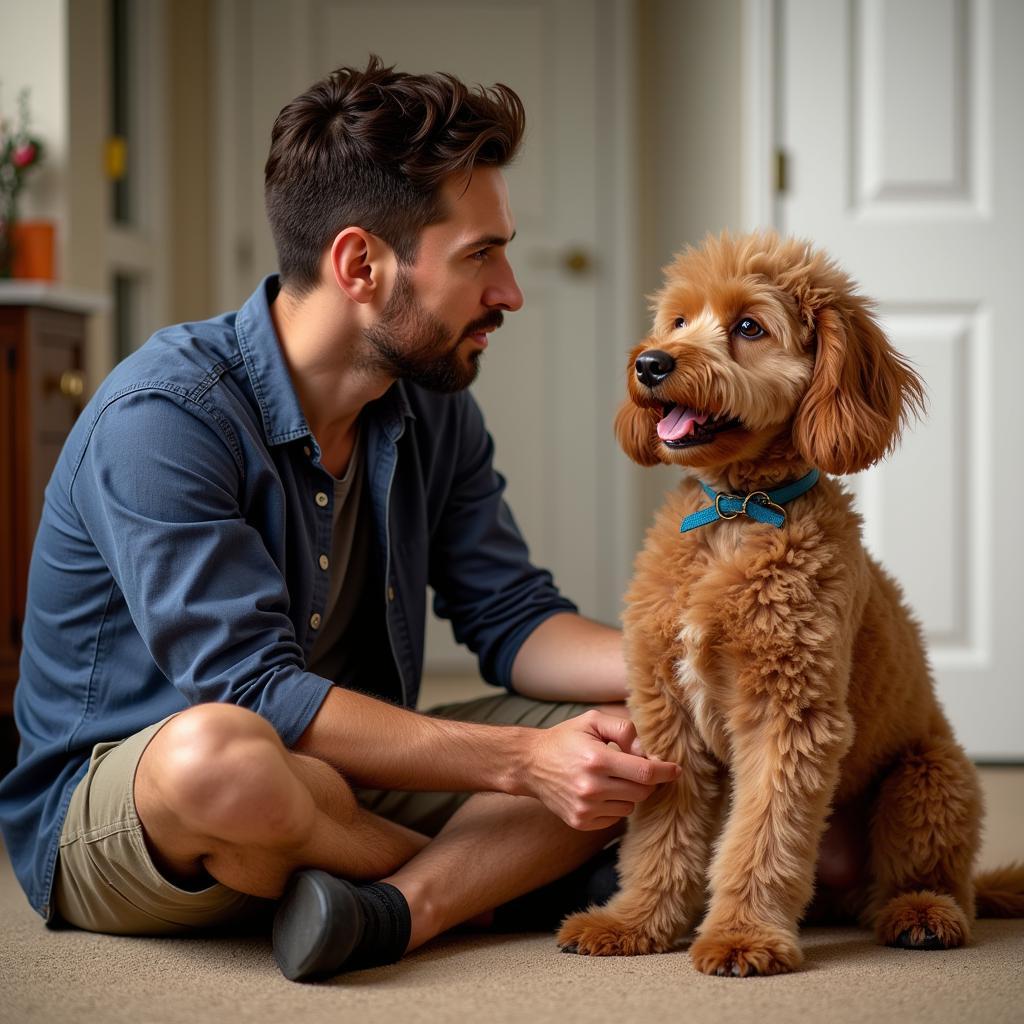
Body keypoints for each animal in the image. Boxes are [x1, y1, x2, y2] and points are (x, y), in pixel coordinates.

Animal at [561, 232, 1024, 974]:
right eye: (678, 320)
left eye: (750, 327)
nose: (651, 363)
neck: (735, 510)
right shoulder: (668, 720)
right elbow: (659, 837)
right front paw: (633, 924)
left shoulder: (788, 715)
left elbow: (765, 835)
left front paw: (742, 937)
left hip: (929, 777)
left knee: (935, 882)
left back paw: (922, 916)